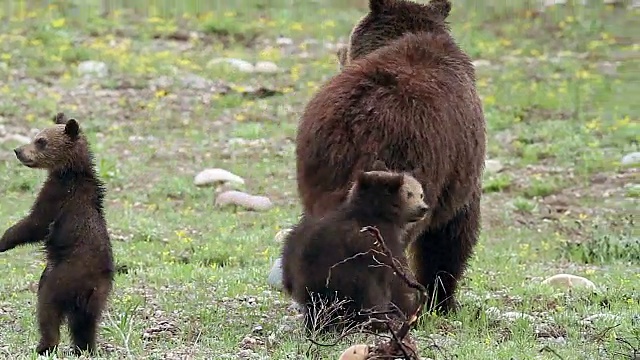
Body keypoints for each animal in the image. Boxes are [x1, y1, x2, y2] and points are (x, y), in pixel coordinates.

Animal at [0, 112, 114, 354]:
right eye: (36, 136)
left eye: (40, 140)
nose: (18, 151)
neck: (70, 171)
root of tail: (87, 284)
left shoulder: (58, 196)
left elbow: (35, 223)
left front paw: (2, 241)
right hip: (97, 296)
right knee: (85, 323)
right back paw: (83, 348)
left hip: (59, 278)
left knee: (47, 309)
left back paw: (44, 345)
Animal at [296, 0, 484, 314]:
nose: (339, 54)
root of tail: (357, 123)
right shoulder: (459, 169)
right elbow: (451, 234)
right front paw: (442, 299)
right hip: (406, 163)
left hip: (321, 163)